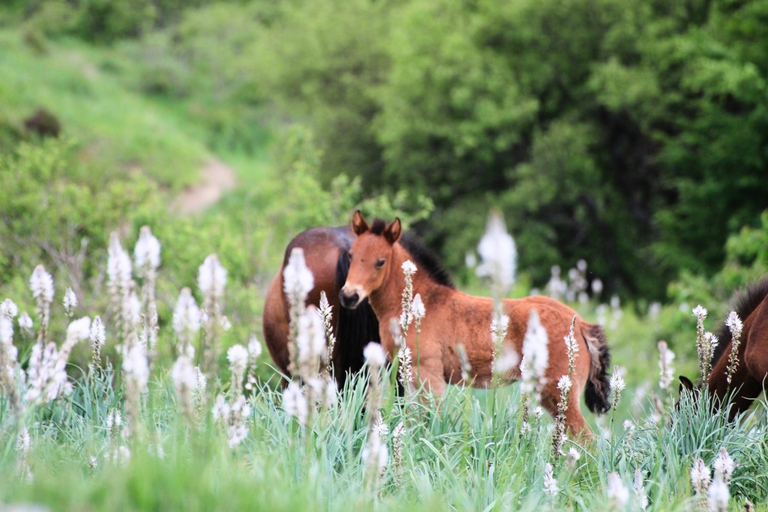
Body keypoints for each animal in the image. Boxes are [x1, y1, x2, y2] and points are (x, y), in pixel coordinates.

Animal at [338, 211, 612, 435]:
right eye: (351, 256)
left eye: (380, 261)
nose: (349, 296)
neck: (421, 303)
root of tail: (581, 325)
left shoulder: (428, 374)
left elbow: (428, 422)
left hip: (557, 391)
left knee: (585, 438)